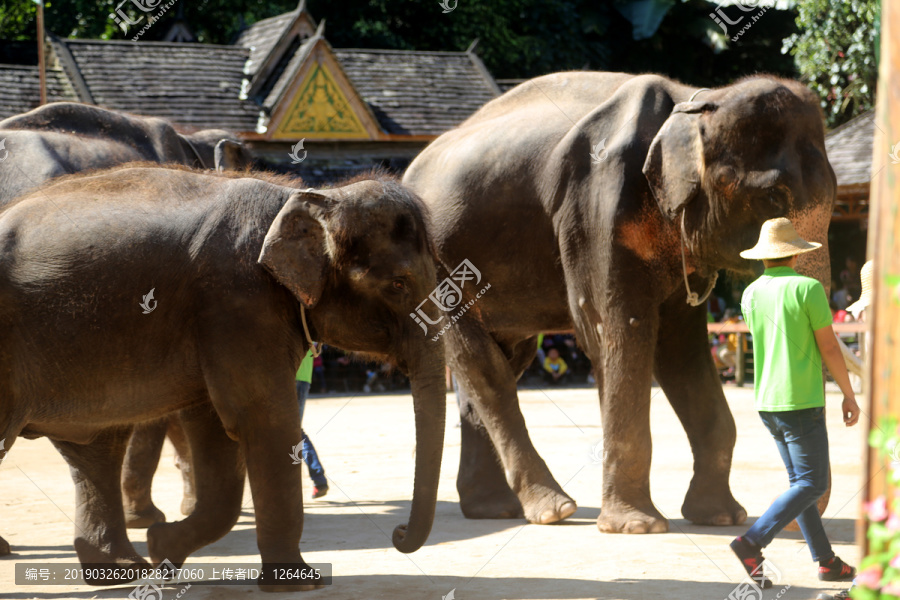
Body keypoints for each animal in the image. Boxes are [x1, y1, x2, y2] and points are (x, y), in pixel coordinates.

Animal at [0, 165, 446, 592]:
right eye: (398, 283)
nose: (398, 533)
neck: (310, 197)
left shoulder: (223, 318)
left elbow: (218, 432)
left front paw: (163, 548)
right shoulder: (237, 301)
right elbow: (263, 421)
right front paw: (299, 583)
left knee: (96, 451)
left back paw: (123, 571)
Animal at [404, 71, 832, 536]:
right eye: (773, 199)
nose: (792, 522)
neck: (694, 101)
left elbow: (680, 348)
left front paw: (721, 517)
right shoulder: (595, 206)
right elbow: (615, 332)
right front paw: (636, 527)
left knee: (505, 360)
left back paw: (494, 509)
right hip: (438, 267)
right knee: (484, 367)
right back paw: (553, 510)